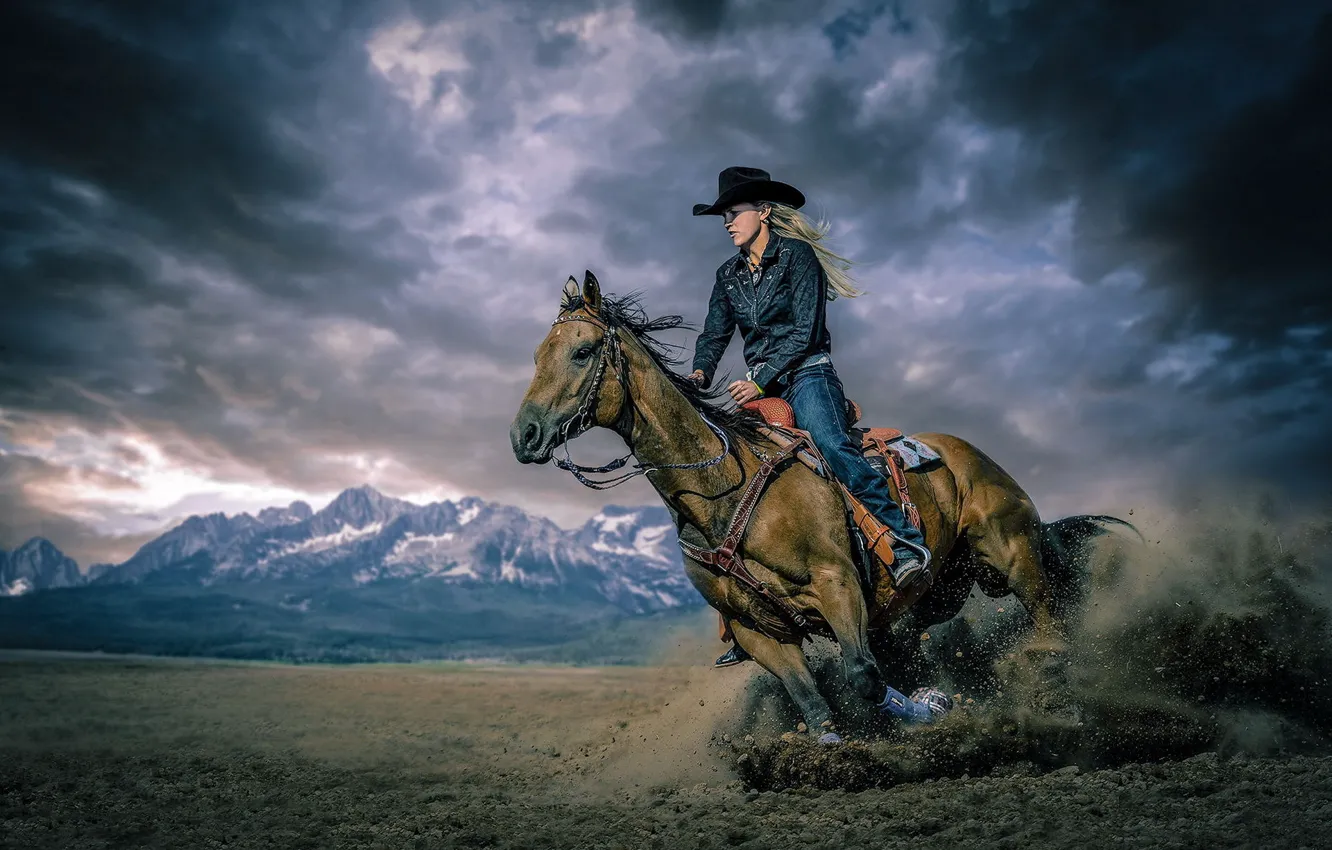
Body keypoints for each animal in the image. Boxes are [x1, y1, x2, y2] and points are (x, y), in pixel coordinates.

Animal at [511, 273, 1134, 740]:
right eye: (537, 354)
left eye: (583, 351)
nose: (524, 435)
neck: (725, 490)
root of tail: (971, 457)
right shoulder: (757, 629)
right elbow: (812, 703)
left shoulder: (838, 585)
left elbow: (862, 676)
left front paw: (931, 709)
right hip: (943, 588)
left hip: (1013, 556)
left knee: (1047, 620)